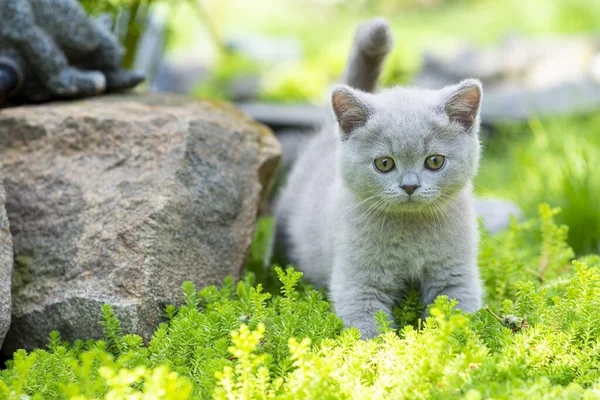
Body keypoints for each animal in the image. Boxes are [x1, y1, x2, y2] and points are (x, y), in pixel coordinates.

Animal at [274, 18, 486, 338]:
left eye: (435, 161)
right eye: (384, 163)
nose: (410, 186)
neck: (411, 233)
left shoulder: (455, 275)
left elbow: (457, 313)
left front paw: (446, 343)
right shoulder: (358, 283)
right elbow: (370, 328)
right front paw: (388, 351)